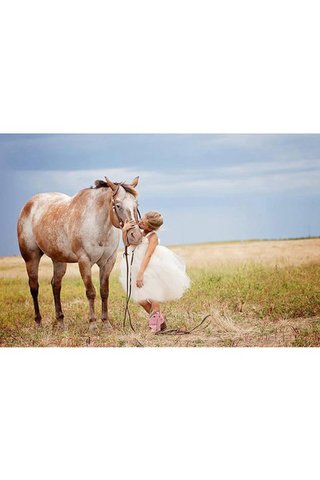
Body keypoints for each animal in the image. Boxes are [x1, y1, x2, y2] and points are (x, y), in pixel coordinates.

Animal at [16, 176, 142, 330]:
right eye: (118, 205)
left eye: (136, 204)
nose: (135, 235)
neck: (97, 224)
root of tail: (29, 205)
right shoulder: (84, 261)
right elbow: (91, 292)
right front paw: (93, 324)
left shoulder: (108, 262)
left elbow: (104, 291)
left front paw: (106, 323)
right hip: (31, 257)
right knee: (34, 287)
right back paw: (38, 322)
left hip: (58, 259)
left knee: (56, 285)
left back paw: (61, 322)